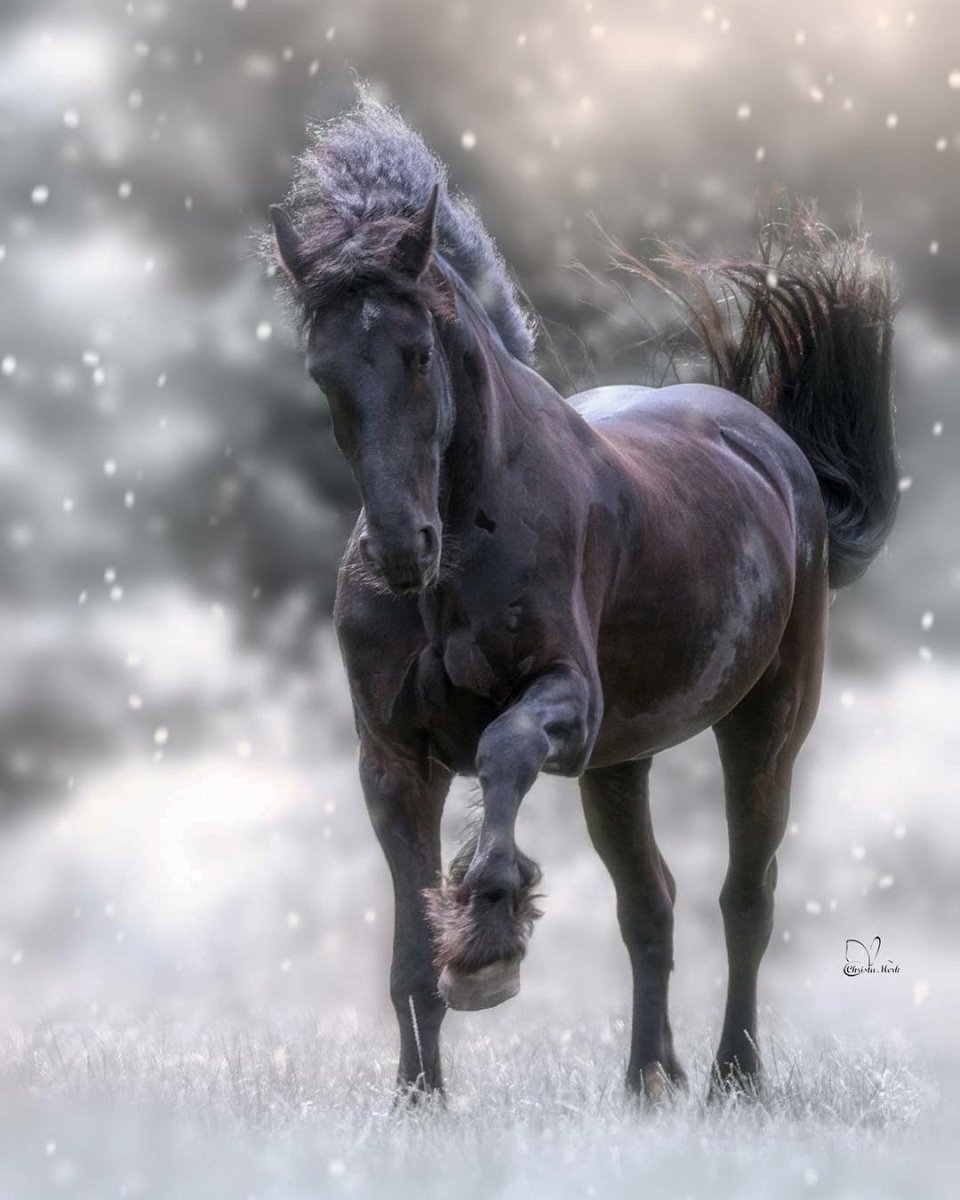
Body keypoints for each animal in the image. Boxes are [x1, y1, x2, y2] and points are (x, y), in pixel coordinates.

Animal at [264, 95, 899, 1103]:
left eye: (417, 355)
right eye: (325, 371)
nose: (402, 550)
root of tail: (768, 439)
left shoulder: (568, 702)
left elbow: (502, 752)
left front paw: (490, 933)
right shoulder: (393, 757)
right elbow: (410, 951)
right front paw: (419, 1101)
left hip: (765, 725)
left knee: (745, 899)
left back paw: (733, 1078)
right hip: (620, 766)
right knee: (652, 904)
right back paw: (648, 1079)